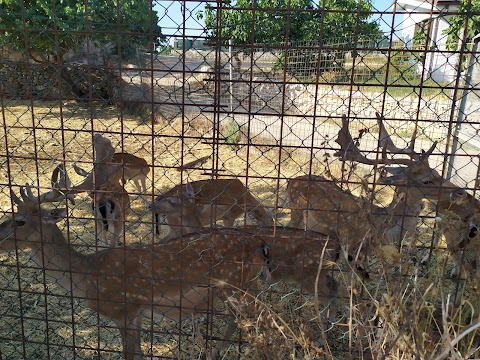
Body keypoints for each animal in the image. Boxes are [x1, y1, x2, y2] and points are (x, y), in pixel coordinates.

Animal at [2, 186, 342, 360]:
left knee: (270, 325)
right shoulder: (136, 314)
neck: (88, 276)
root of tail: (260, 244)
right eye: (10, 215)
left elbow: (132, 355)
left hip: (239, 286)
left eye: (20, 221)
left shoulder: (126, 309)